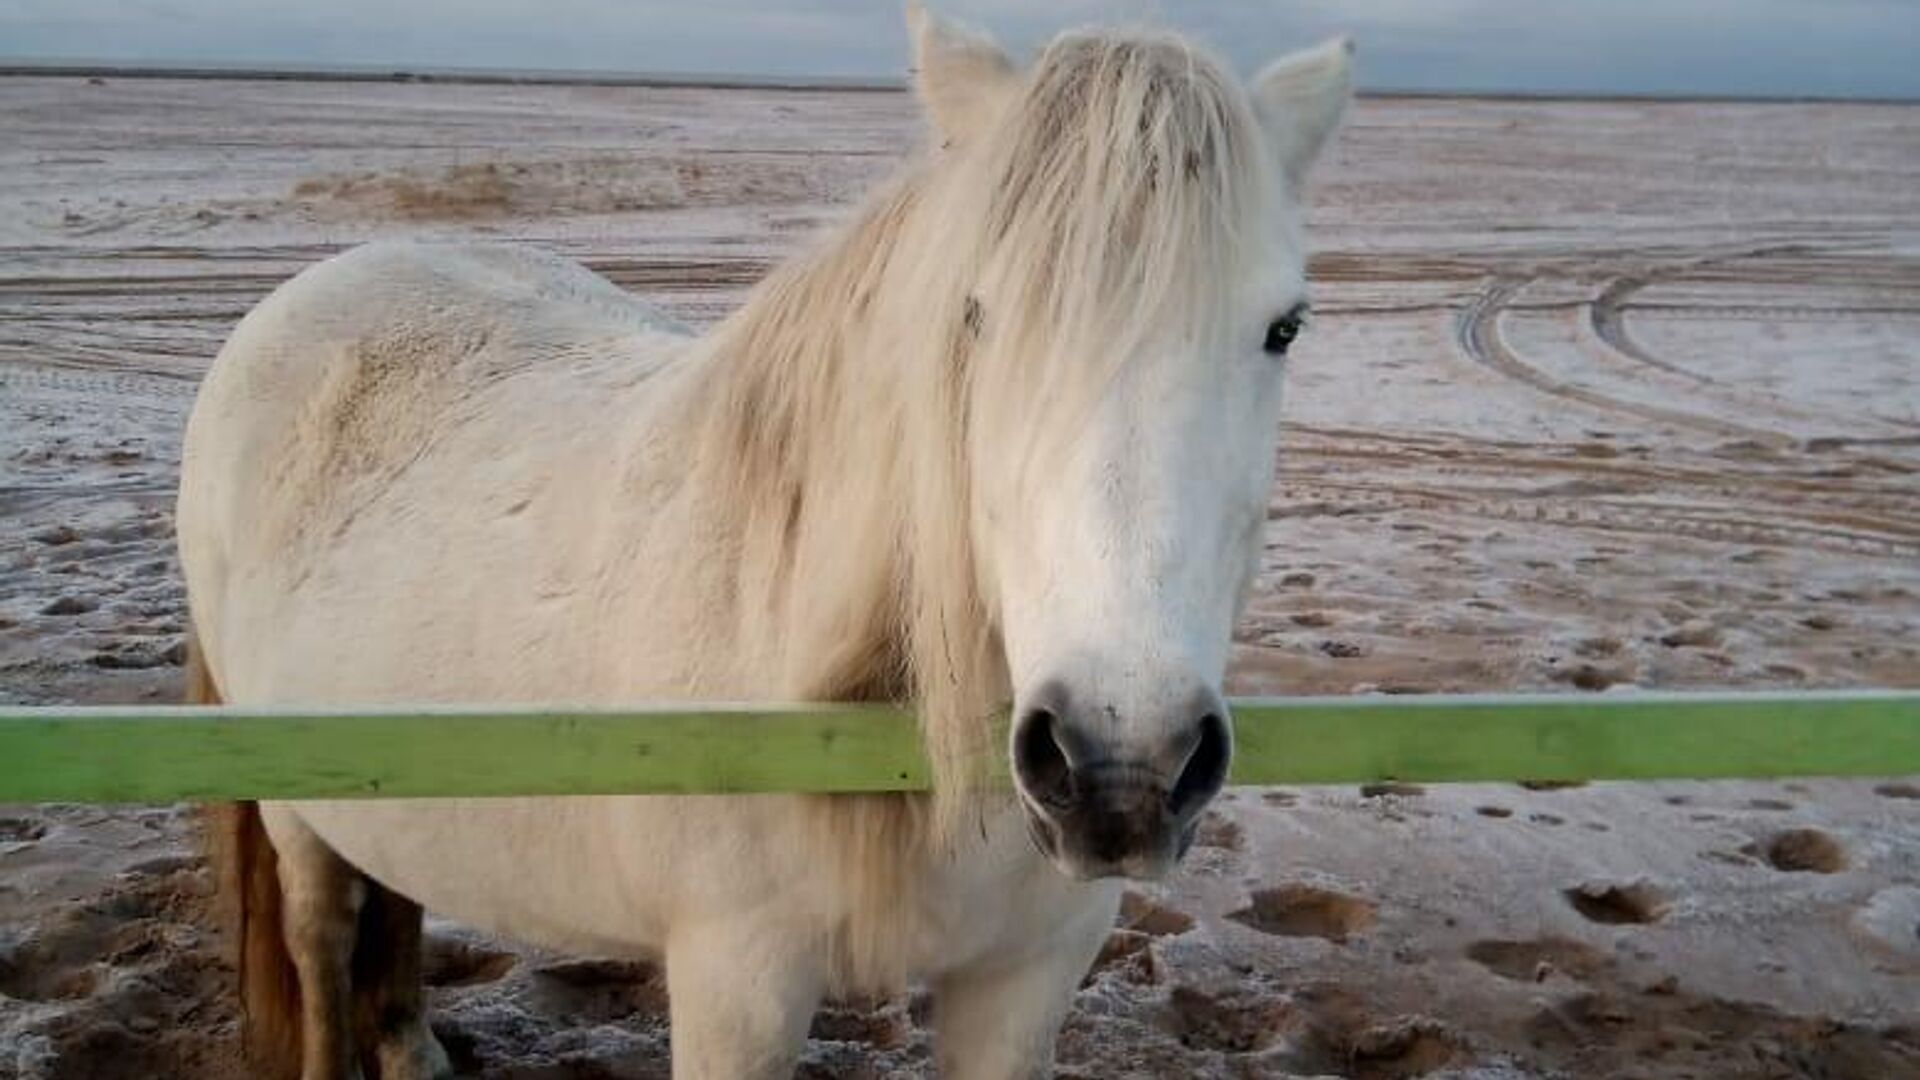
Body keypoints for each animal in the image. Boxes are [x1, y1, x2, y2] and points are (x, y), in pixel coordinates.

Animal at [176, 4, 1351, 1068]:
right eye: (975, 315)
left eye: (1284, 328)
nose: (1122, 765)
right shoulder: (736, 984)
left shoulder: (1028, 975)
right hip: (298, 804)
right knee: (321, 937)